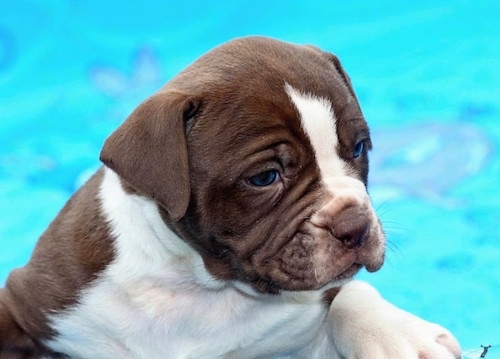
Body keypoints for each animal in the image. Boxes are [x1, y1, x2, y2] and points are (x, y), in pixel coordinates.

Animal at [0, 35, 460, 358]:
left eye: (360, 148)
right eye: (265, 177)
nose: (356, 225)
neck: (199, 284)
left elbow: (346, 294)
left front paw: (398, 334)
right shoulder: (32, 302)